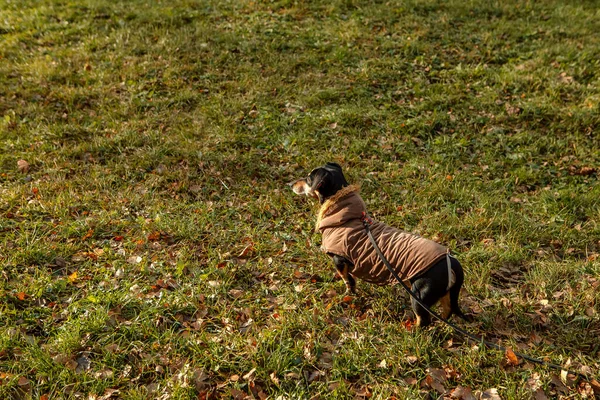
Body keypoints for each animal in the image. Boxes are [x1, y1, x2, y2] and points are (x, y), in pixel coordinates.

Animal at [288, 162, 472, 328]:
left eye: (308, 178)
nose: (291, 184)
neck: (344, 214)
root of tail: (451, 260)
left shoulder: (340, 261)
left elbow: (348, 281)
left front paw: (348, 296)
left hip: (419, 296)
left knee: (424, 320)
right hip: (445, 294)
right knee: (447, 311)